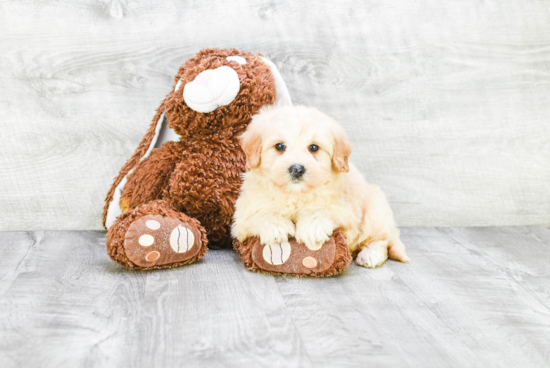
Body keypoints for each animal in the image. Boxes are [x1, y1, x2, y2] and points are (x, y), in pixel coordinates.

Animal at [233, 103, 410, 268]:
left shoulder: (346, 215)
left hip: (375, 211)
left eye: (314, 148)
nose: (297, 169)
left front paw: (312, 227)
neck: (295, 194)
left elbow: (325, 210)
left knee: (382, 240)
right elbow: (258, 213)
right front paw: (276, 226)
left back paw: (370, 255)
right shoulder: (242, 216)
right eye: (280, 146)